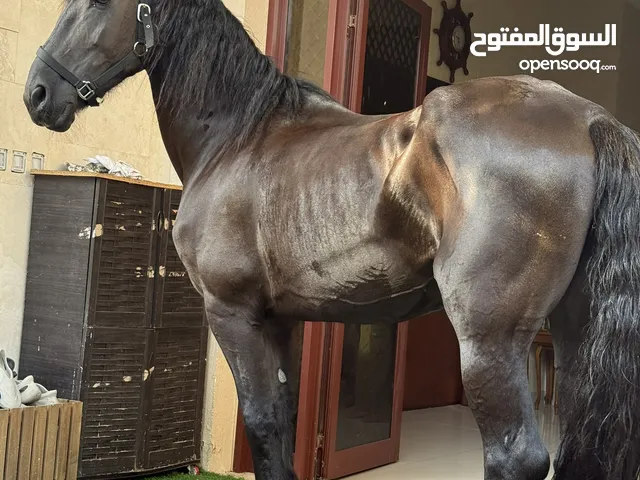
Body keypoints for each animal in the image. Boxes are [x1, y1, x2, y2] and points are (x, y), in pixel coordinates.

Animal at [22, 1, 640, 479]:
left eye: (97, 1)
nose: (37, 93)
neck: (237, 138)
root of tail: (590, 119)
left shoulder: (233, 314)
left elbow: (262, 427)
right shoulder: (281, 321)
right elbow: (283, 423)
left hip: (491, 340)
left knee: (517, 457)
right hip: (574, 337)